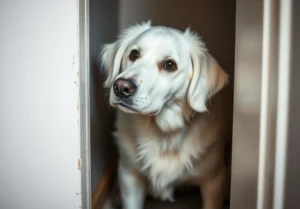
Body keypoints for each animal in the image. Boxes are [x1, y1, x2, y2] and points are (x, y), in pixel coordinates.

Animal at [102, 20, 229, 209]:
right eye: (134, 54)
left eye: (170, 65)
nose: (121, 87)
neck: (164, 133)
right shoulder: (129, 177)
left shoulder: (213, 180)